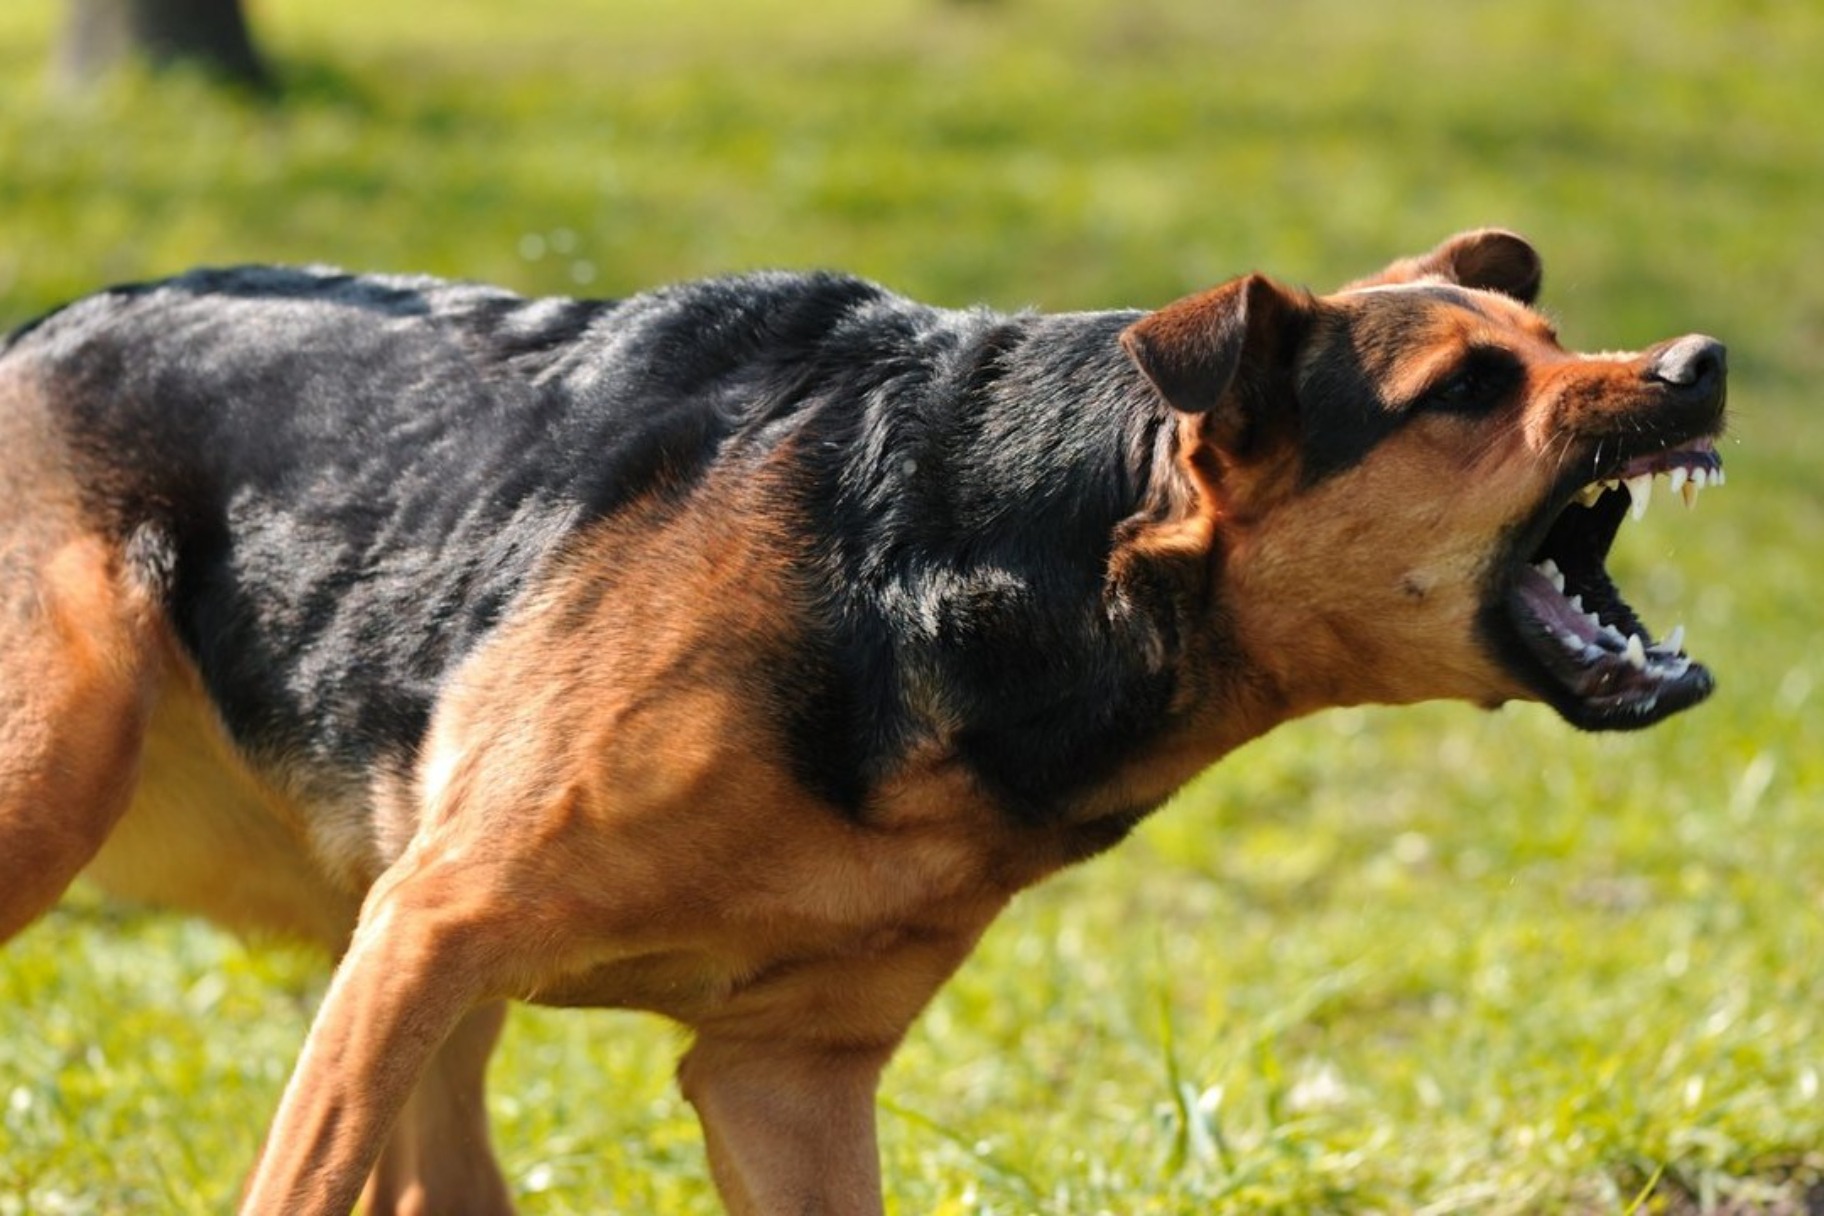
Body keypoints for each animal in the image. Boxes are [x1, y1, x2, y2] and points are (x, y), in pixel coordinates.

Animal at [0, 230, 1721, 1216]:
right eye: (1470, 388)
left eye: (1547, 340)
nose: (1700, 362)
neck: (980, 556)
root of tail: (42, 329)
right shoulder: (438, 929)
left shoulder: (786, 1079)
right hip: (80, 794)